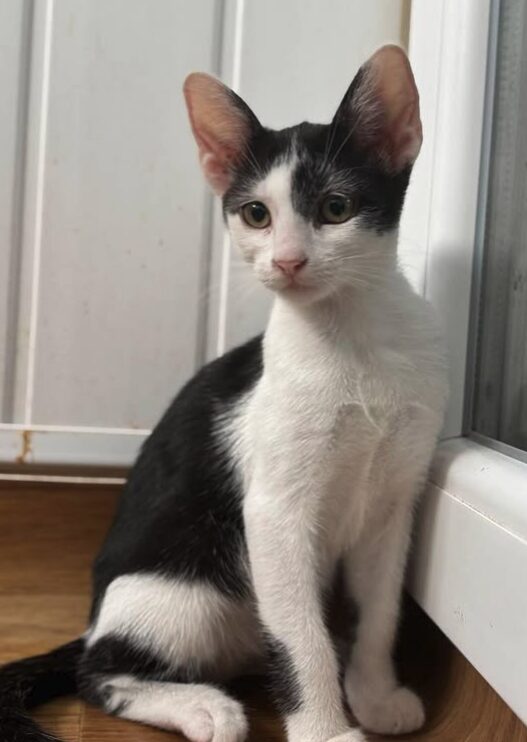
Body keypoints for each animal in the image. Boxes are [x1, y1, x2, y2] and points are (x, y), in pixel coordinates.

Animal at [0, 46, 448, 742]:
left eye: (336, 207)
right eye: (256, 214)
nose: (287, 261)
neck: (354, 342)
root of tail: (93, 617)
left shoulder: (393, 503)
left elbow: (379, 611)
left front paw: (374, 693)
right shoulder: (272, 513)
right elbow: (301, 638)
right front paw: (326, 729)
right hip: (183, 590)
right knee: (98, 672)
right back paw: (203, 706)